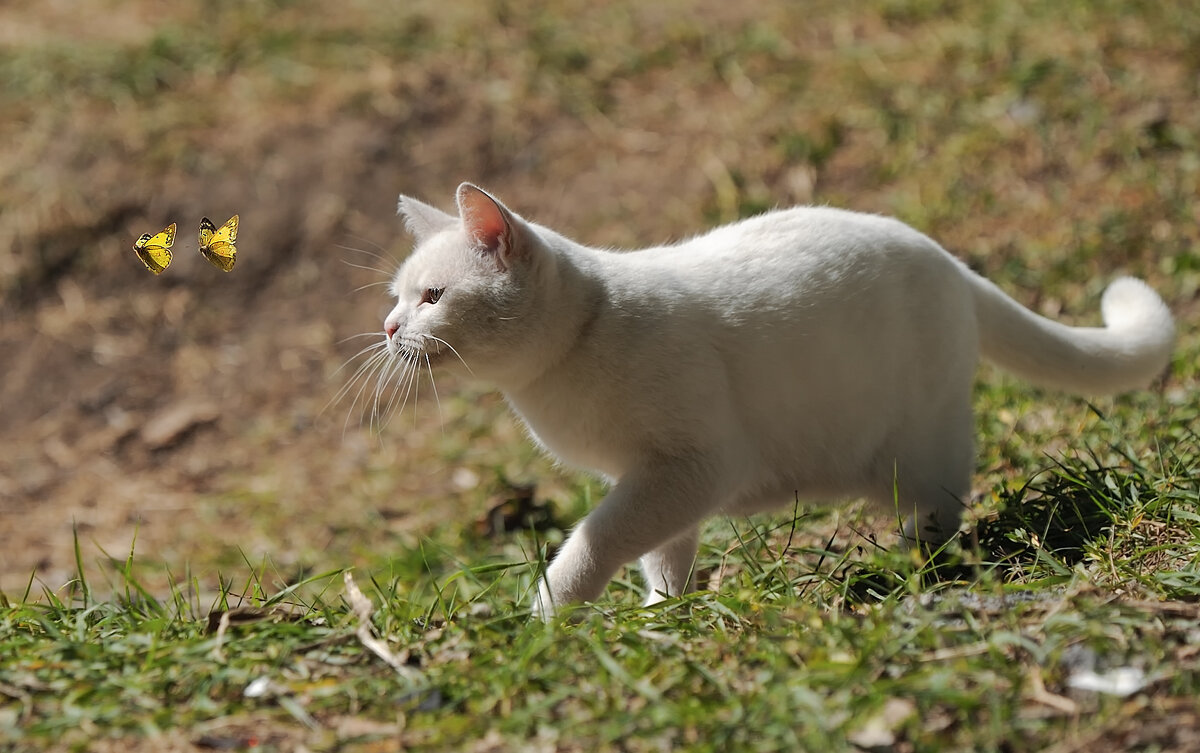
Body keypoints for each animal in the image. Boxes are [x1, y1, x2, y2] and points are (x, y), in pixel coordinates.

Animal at [381, 182, 1171, 618]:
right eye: (397, 296)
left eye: (433, 297)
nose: (388, 328)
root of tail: (948, 258)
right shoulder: (654, 479)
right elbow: (659, 554)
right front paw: (664, 614)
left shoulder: (695, 465)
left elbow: (596, 538)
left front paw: (550, 613)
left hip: (918, 448)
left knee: (943, 505)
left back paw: (915, 565)